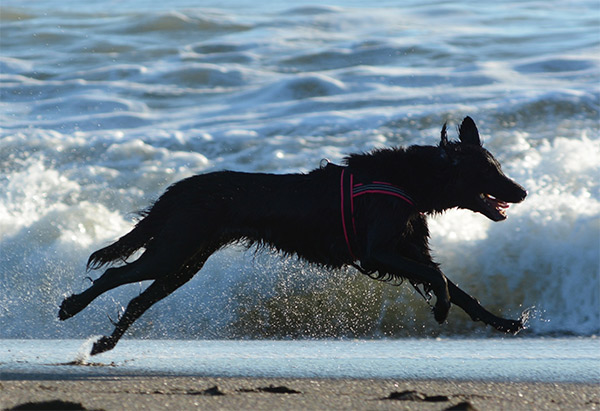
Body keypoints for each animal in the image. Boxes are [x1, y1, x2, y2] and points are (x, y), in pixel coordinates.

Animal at [58, 117, 528, 356]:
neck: (409, 181)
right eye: (489, 171)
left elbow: (459, 289)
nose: (522, 191)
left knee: (139, 298)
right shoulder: (378, 253)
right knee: (114, 277)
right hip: (173, 250)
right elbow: (443, 281)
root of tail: (179, 188)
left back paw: (104, 343)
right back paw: (70, 307)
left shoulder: (410, 252)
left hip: (186, 262)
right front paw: (442, 311)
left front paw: (503, 322)